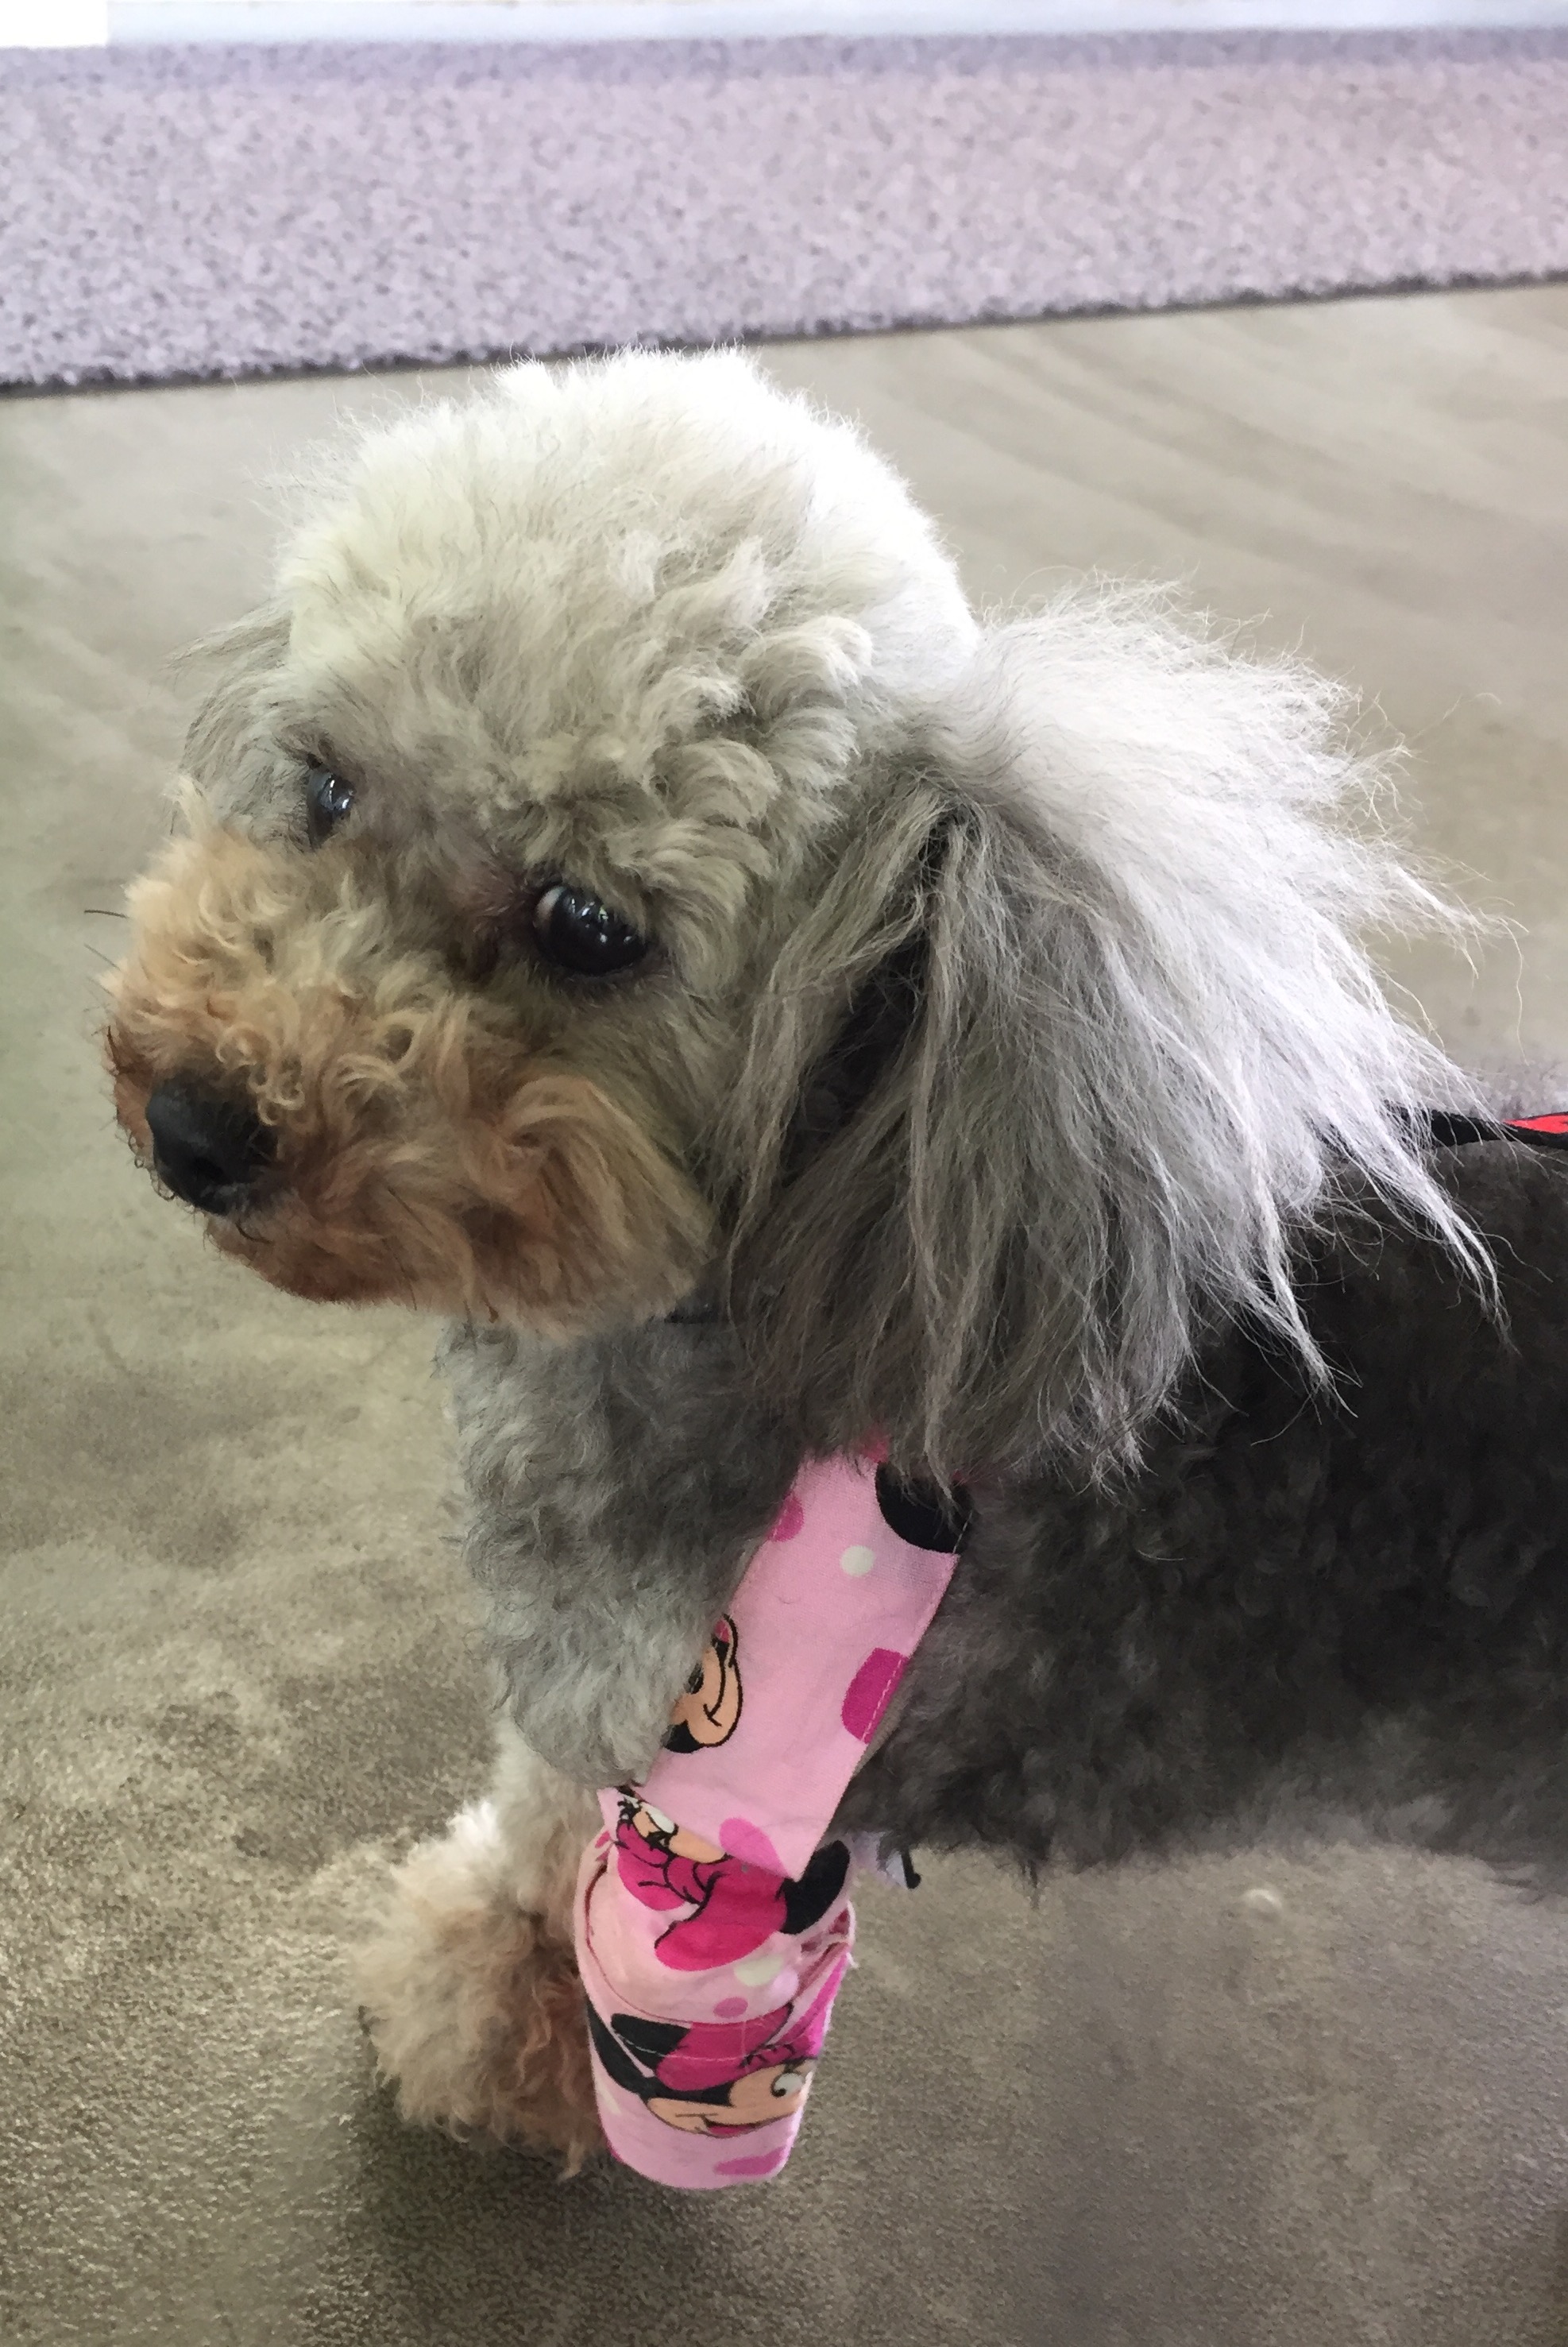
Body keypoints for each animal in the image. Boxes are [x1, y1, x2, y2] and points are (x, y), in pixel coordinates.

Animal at [105, 347, 1568, 2166]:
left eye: (590, 926)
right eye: (322, 784)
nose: (194, 1123)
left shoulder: (714, 1815)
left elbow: (577, 1892)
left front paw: (507, 2038)